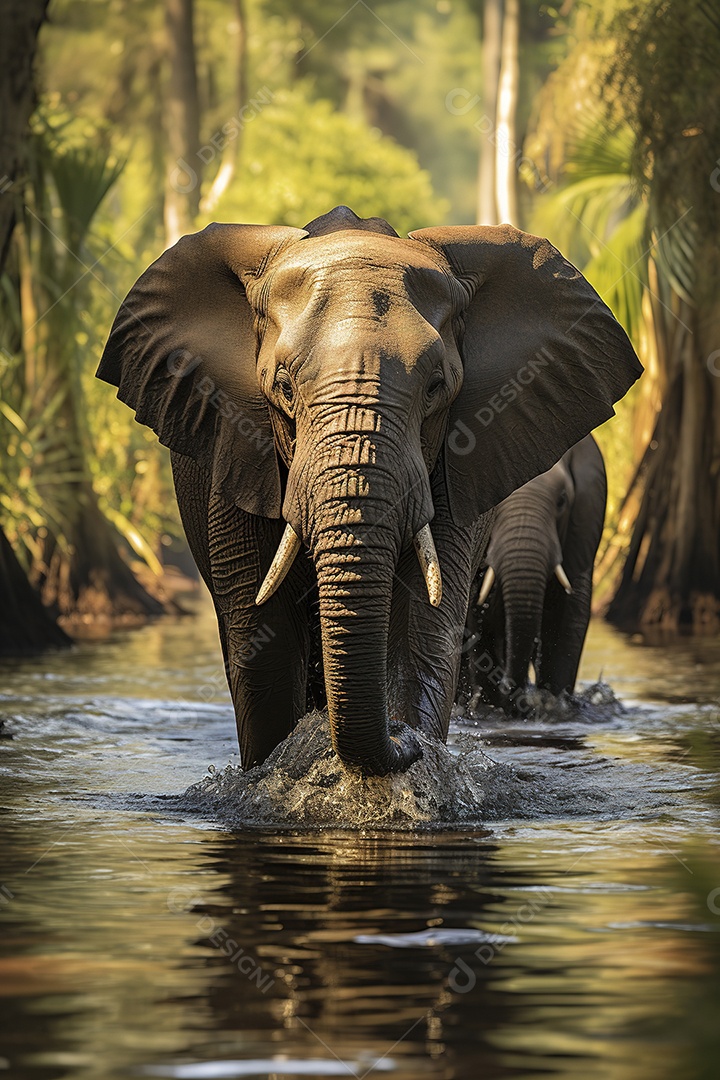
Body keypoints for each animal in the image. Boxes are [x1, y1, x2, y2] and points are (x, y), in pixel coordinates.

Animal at [464, 434, 607, 712]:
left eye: (562, 500)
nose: (511, 691)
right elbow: (476, 622)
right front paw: (492, 707)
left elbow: (569, 620)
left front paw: (553, 705)